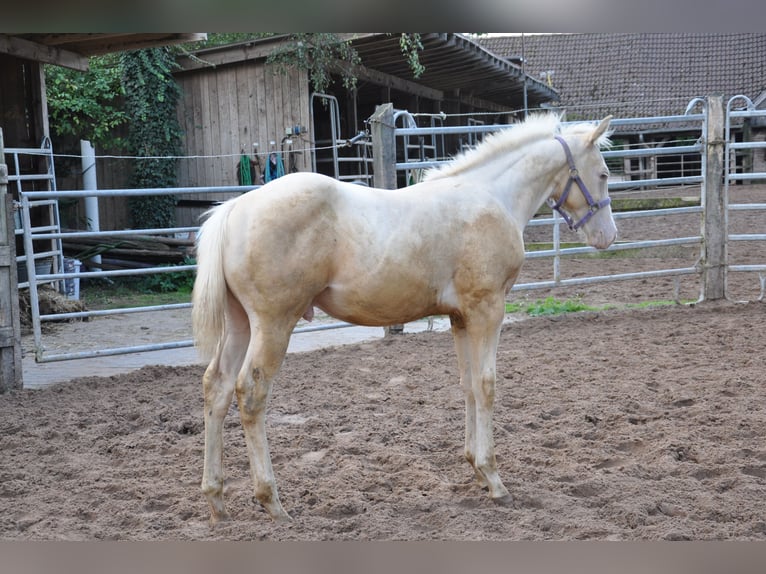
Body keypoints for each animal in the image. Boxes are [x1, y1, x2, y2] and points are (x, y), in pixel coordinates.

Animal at [191, 113, 617, 524]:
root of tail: (234, 210)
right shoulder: (487, 309)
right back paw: (272, 502)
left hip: (241, 324)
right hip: (274, 324)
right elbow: (487, 385)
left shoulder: (460, 317)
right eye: (603, 174)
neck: (491, 197)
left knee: (218, 386)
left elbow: (467, 385)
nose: (608, 236)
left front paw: (476, 470)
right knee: (251, 393)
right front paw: (494, 479)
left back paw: (216, 501)